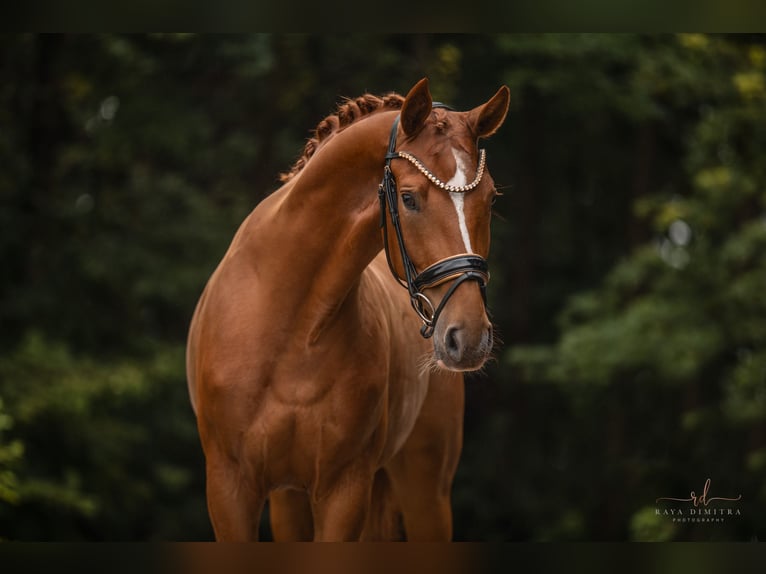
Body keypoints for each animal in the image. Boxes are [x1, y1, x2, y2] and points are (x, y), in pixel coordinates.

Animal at [185, 79, 510, 544]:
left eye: (490, 198)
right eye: (408, 199)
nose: (468, 338)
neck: (292, 325)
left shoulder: (344, 490)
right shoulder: (230, 489)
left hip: (426, 490)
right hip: (290, 498)